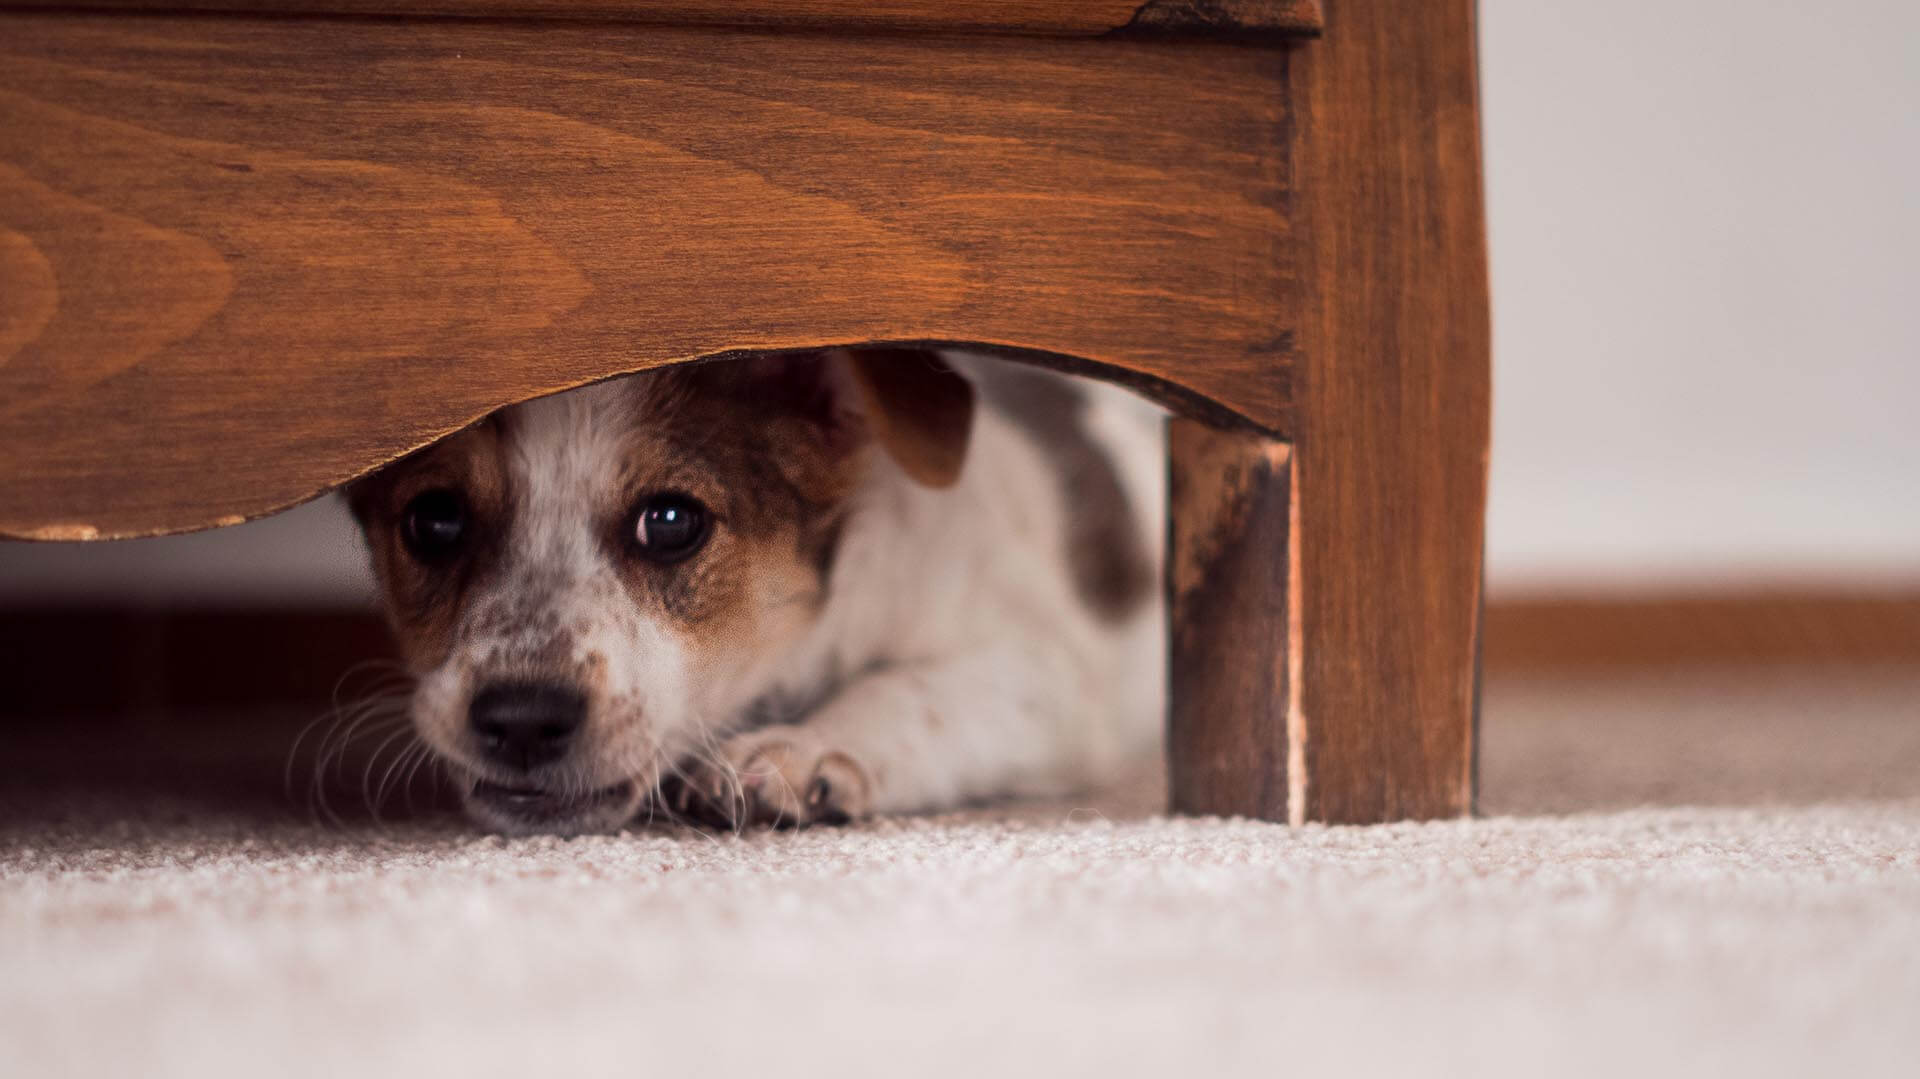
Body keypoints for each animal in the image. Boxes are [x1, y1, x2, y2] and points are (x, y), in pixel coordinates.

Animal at [351, 345, 1159, 833]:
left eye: (671, 521)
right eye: (434, 520)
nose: (521, 720)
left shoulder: (1044, 674)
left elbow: (910, 689)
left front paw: (803, 748)